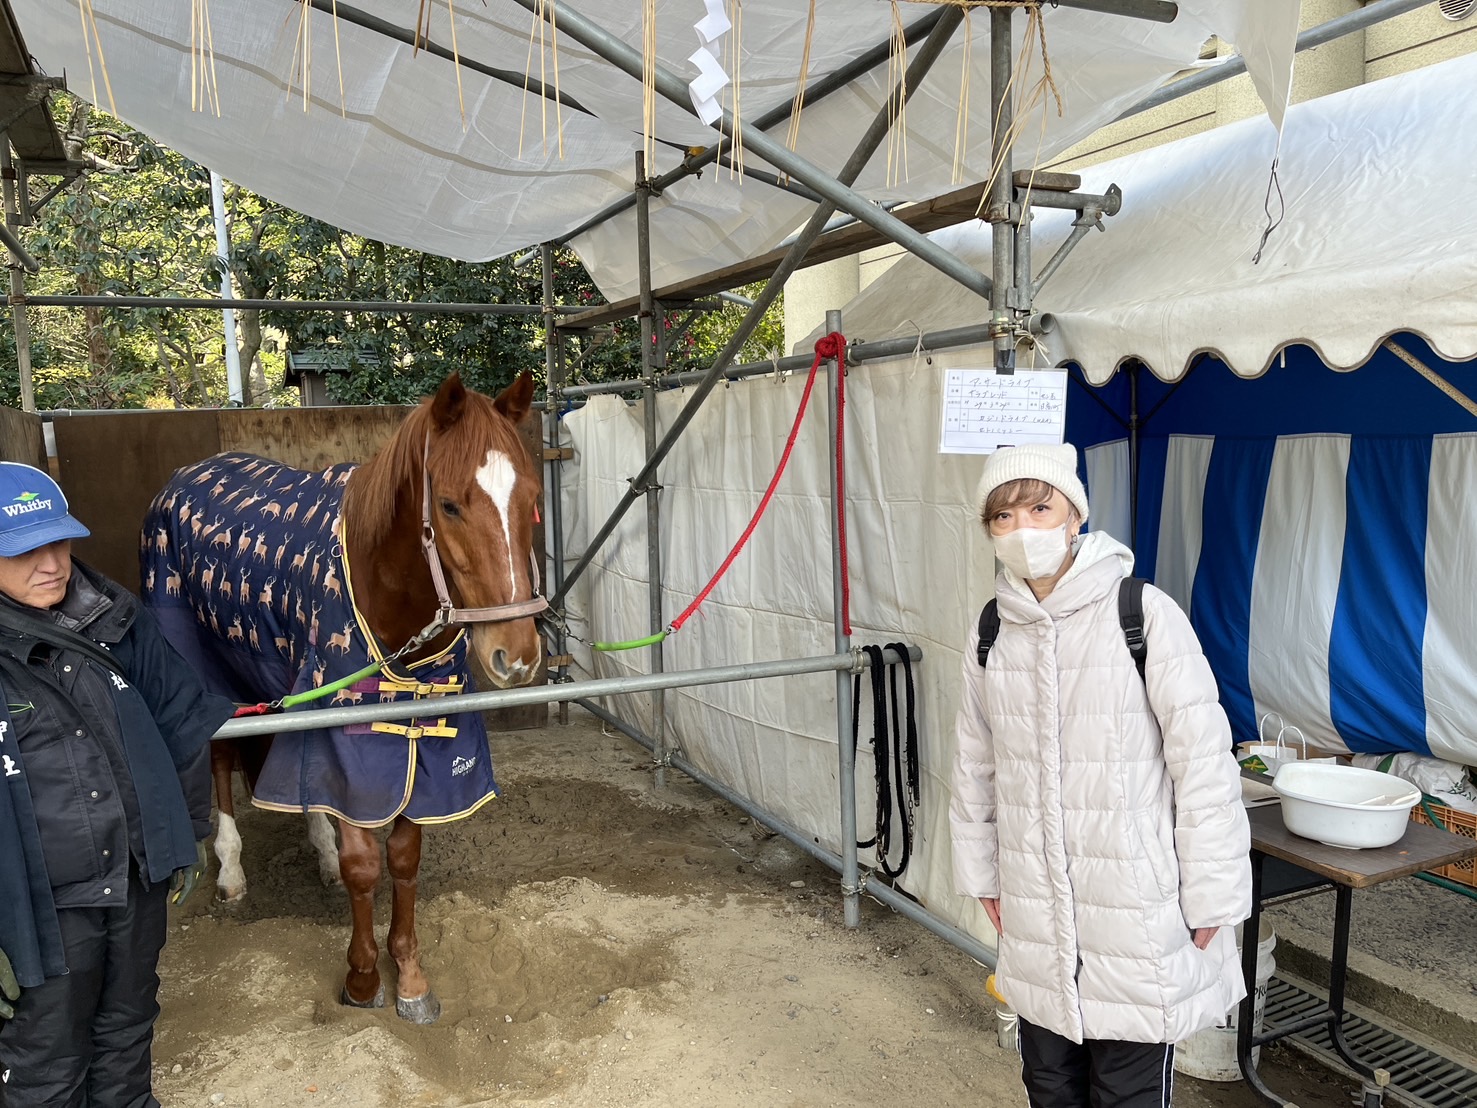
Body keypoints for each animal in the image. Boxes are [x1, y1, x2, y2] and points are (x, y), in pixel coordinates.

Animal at [139, 371, 545, 1023]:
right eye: (449, 504)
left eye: (530, 497)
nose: (518, 654)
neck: (383, 588)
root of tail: (186, 476)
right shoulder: (352, 738)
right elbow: (364, 864)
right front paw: (362, 978)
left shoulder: (420, 744)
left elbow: (402, 857)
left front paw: (409, 976)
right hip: (209, 673)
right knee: (222, 760)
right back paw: (230, 871)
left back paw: (319, 854)